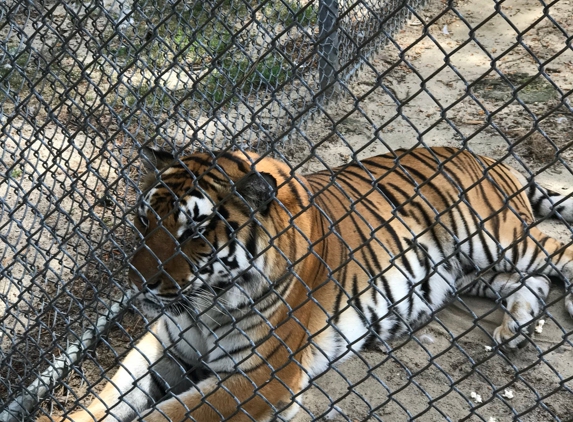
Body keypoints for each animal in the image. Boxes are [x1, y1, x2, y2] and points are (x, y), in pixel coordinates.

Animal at [39, 146, 572, 422]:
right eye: (143, 219)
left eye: (194, 233)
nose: (136, 285)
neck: (207, 302)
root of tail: (484, 155)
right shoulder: (162, 338)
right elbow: (110, 392)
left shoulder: (258, 376)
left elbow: (168, 414)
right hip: (467, 272)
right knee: (529, 283)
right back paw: (515, 330)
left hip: (495, 236)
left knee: (558, 254)